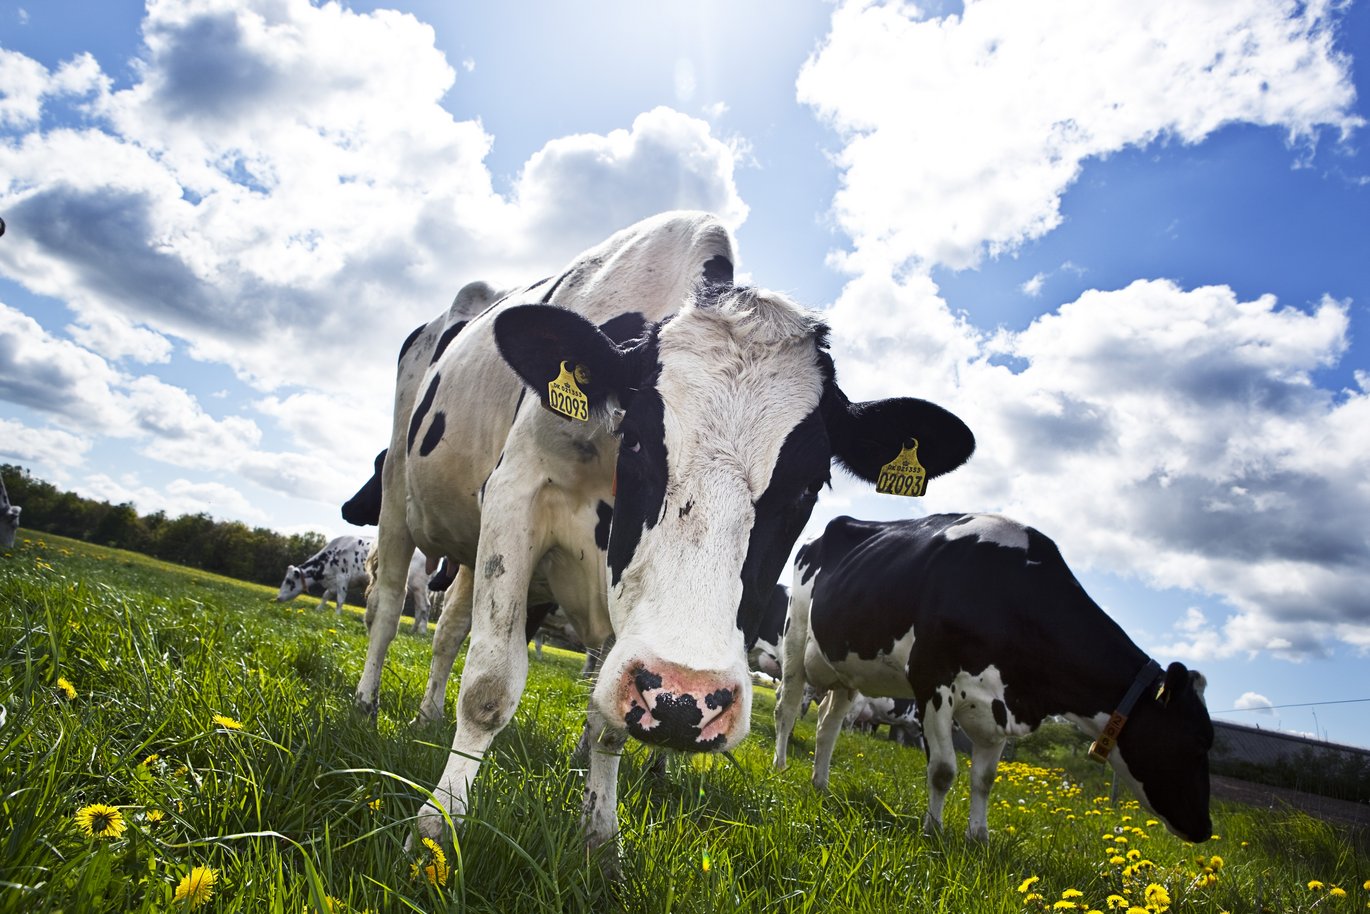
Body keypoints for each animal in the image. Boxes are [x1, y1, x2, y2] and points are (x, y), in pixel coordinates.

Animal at [353, 209, 975, 860]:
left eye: (811, 485)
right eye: (637, 440)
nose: (687, 700)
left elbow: (608, 722)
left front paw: (601, 839)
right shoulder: (516, 492)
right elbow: (490, 684)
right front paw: (436, 829)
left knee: (448, 629)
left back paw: (426, 716)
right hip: (397, 485)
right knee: (388, 603)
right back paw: (367, 707)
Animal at [778, 512, 1216, 849]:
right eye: (1199, 743)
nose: (1205, 828)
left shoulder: (1001, 705)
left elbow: (985, 779)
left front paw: (979, 838)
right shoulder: (931, 680)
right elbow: (943, 769)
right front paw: (933, 832)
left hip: (846, 669)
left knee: (828, 727)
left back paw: (820, 783)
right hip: (795, 638)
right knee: (787, 708)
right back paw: (781, 768)